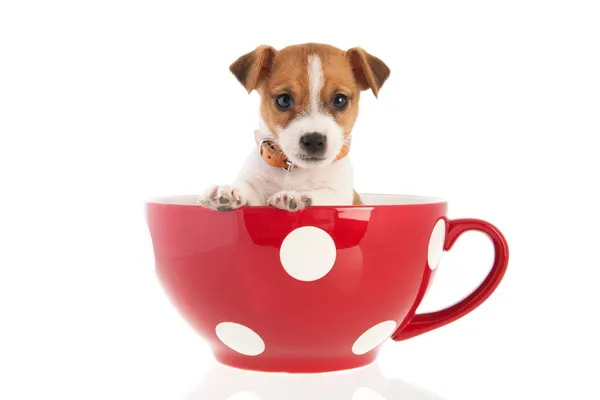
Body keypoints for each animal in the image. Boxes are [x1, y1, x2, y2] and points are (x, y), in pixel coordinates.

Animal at [199, 42, 392, 212]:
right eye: (284, 100)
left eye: (340, 100)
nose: (314, 140)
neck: (296, 170)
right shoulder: (256, 189)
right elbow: (249, 190)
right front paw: (228, 191)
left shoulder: (340, 195)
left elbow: (322, 195)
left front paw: (296, 196)